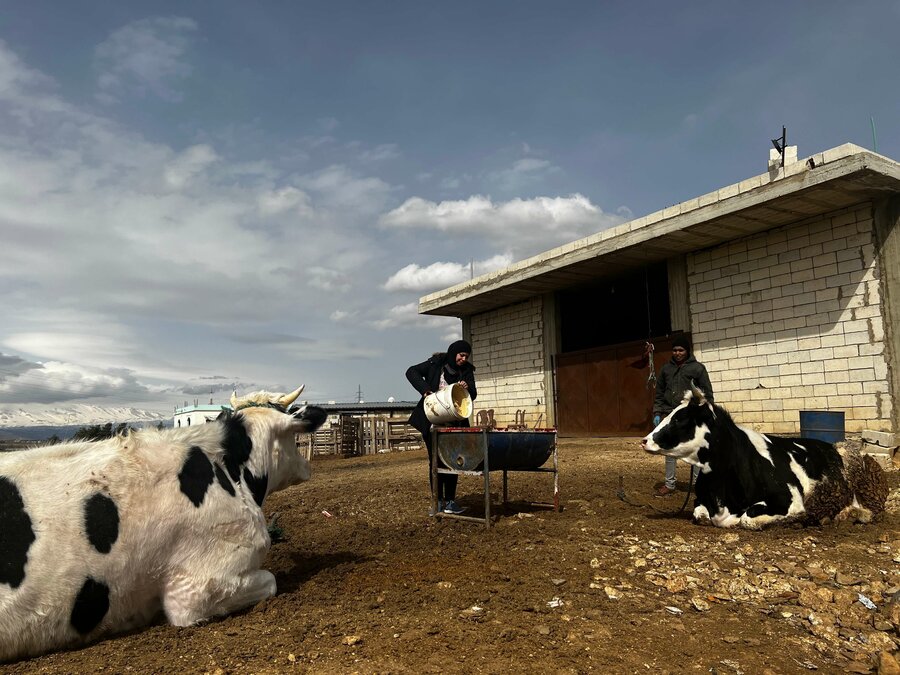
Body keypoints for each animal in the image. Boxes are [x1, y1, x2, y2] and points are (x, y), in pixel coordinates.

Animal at [644, 388, 888, 532]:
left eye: (680, 419)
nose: (645, 440)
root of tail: (834, 445)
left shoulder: (790, 500)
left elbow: (748, 518)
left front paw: (799, 519)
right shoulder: (702, 502)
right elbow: (700, 514)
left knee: (871, 511)